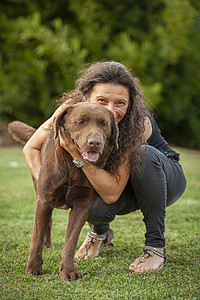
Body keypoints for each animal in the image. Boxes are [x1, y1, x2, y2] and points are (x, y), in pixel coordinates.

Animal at [8, 103, 119, 282]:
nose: (94, 142)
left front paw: (68, 271)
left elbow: (70, 242)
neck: (73, 166)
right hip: (40, 193)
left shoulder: (82, 205)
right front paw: (33, 267)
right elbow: (36, 238)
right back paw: (46, 245)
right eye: (80, 122)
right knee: (45, 223)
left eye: (104, 124)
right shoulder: (44, 200)